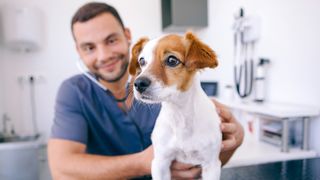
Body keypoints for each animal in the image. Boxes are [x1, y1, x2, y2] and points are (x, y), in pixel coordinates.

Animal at [129, 32, 221, 180]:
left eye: (172, 60)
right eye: (142, 61)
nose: (138, 84)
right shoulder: (160, 162)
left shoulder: (211, 165)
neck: (179, 114)